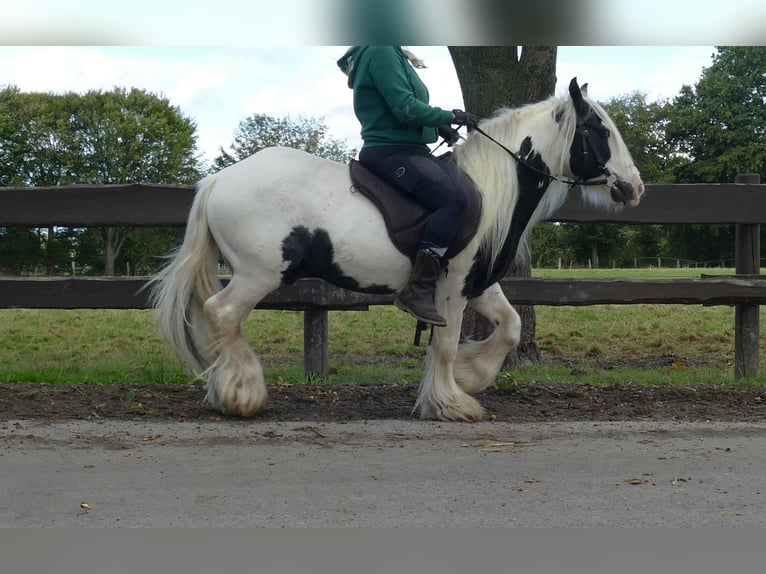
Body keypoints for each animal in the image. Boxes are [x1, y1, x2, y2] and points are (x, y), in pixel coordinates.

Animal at [148, 77, 640, 424]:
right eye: (598, 129)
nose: (634, 188)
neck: (490, 188)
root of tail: (218, 180)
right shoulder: (452, 286)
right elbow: (444, 344)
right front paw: (450, 403)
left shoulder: (479, 284)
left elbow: (511, 328)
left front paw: (470, 377)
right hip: (259, 273)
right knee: (222, 314)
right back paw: (242, 394)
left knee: (219, 320)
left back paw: (224, 390)